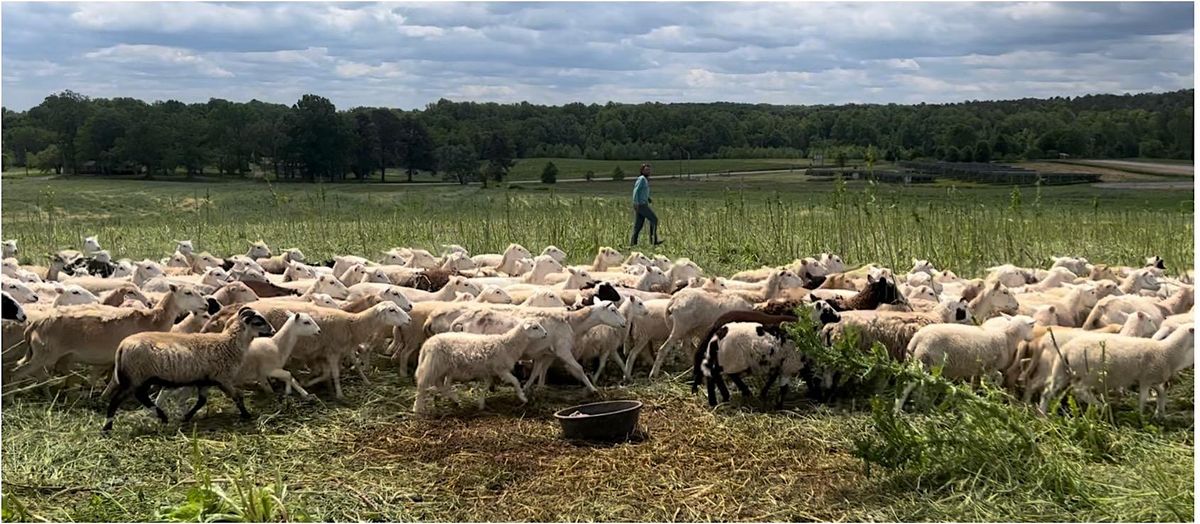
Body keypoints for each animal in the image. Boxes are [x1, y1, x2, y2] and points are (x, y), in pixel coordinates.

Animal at [15, 284, 207, 381]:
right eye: (188, 293)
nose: (206, 305)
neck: (153, 319)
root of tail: (34, 325)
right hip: (43, 355)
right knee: (16, 372)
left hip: (53, 357)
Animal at [101, 305, 276, 429]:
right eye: (258, 322)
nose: (274, 331)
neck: (228, 343)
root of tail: (122, 346)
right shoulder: (223, 379)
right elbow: (238, 396)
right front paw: (247, 415)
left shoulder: (205, 381)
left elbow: (201, 401)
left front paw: (186, 417)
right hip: (136, 377)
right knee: (118, 400)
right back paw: (107, 427)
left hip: (141, 379)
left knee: (142, 397)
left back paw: (162, 417)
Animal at [410, 318, 547, 412]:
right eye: (535, 327)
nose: (546, 334)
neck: (507, 345)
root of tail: (427, 344)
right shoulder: (501, 369)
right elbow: (515, 381)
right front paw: (523, 397)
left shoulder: (488, 371)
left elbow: (486, 386)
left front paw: (481, 403)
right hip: (434, 366)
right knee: (422, 385)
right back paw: (417, 408)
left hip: (442, 368)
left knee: (441, 385)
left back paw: (455, 399)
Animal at [1036, 323, 1195, 417]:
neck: (1168, 351)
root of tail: (1066, 349)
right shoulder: (1146, 378)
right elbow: (1143, 398)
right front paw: (1140, 415)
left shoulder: (1153, 378)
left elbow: (1161, 393)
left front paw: (1159, 413)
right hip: (1089, 373)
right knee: (1080, 390)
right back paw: (1101, 406)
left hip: (1063, 371)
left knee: (1047, 391)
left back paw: (1042, 415)